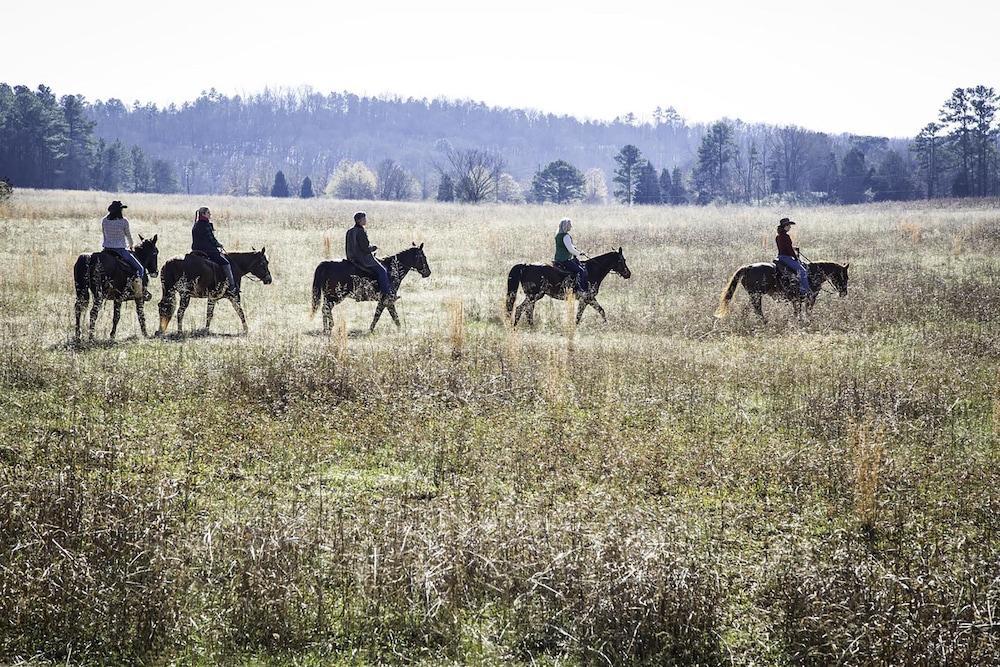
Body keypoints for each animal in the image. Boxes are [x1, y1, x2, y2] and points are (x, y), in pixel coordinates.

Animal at [716, 258, 848, 324]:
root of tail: (748, 267)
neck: (813, 273)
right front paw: (807, 320)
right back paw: (764, 321)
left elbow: (797, 310)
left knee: (750, 309)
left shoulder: (797, 299)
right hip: (756, 295)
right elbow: (807, 310)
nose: (844, 293)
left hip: (754, 295)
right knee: (757, 309)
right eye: (845, 277)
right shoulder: (810, 297)